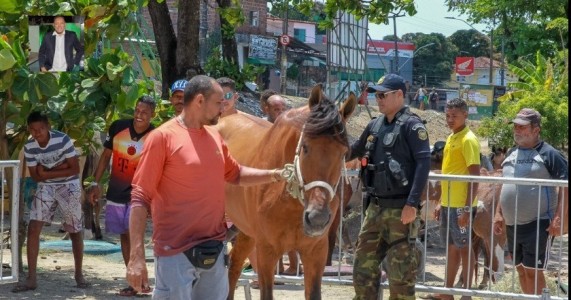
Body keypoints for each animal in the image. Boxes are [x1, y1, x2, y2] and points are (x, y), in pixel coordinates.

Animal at [217, 85, 356, 298]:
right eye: (305, 146)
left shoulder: (316, 252)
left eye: (344, 152)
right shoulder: (267, 251)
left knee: (234, 264)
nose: (317, 218)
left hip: (245, 230)